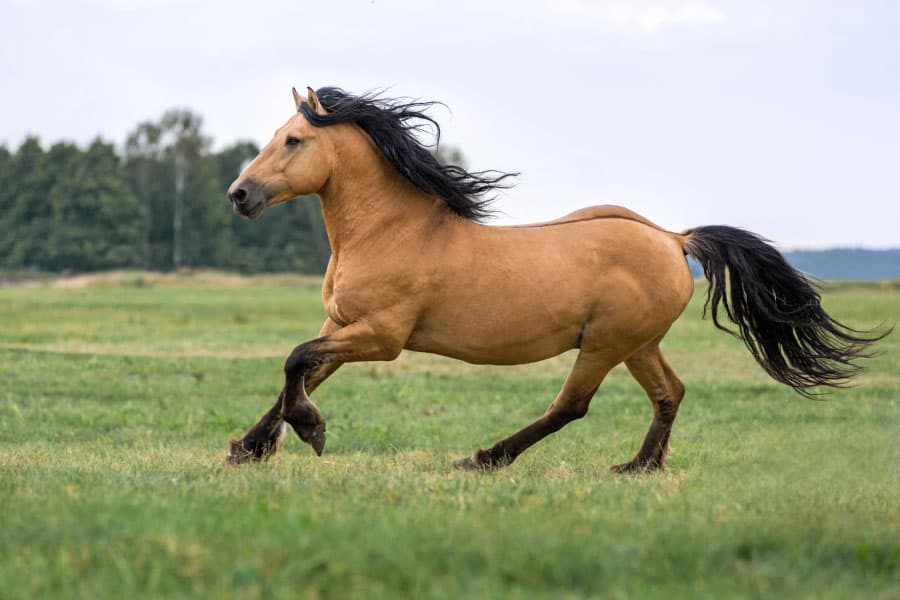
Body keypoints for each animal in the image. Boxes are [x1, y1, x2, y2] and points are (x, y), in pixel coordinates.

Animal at [225, 86, 888, 472]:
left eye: (294, 139)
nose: (239, 195)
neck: (391, 229)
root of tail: (673, 239)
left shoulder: (382, 337)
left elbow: (295, 360)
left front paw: (309, 432)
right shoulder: (343, 324)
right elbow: (302, 371)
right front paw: (249, 447)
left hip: (604, 344)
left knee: (571, 406)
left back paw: (485, 458)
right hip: (639, 344)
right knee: (669, 393)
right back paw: (640, 467)